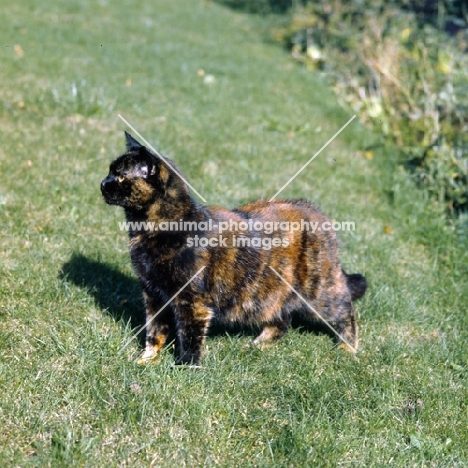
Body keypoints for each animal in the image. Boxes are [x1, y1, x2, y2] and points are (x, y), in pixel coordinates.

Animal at [100, 132, 368, 366]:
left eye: (120, 176)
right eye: (111, 171)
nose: (102, 183)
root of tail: (315, 210)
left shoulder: (192, 301)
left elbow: (189, 337)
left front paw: (186, 367)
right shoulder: (153, 294)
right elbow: (153, 331)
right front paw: (147, 359)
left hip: (319, 293)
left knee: (346, 309)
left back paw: (348, 347)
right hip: (270, 293)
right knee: (282, 320)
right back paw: (259, 344)